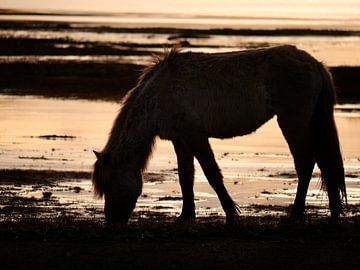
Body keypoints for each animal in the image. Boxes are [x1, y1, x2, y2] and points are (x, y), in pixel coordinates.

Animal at [92, 46, 346, 224]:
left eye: (109, 184)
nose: (112, 224)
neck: (159, 94)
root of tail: (315, 63)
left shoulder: (196, 137)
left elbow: (212, 174)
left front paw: (231, 214)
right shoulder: (180, 141)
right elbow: (185, 177)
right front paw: (185, 216)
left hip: (292, 123)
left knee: (305, 163)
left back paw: (295, 214)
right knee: (323, 162)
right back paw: (334, 212)